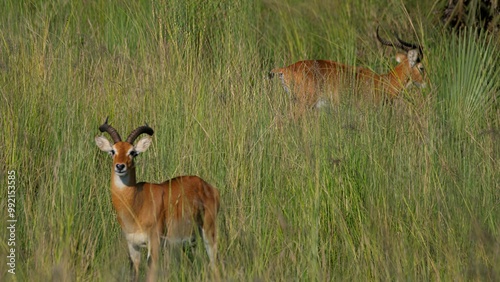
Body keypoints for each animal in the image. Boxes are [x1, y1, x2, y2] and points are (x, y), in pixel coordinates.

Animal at [94, 118, 219, 280]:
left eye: (133, 152)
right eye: (112, 151)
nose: (120, 166)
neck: (136, 204)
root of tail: (209, 187)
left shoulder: (154, 243)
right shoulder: (132, 245)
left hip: (209, 232)